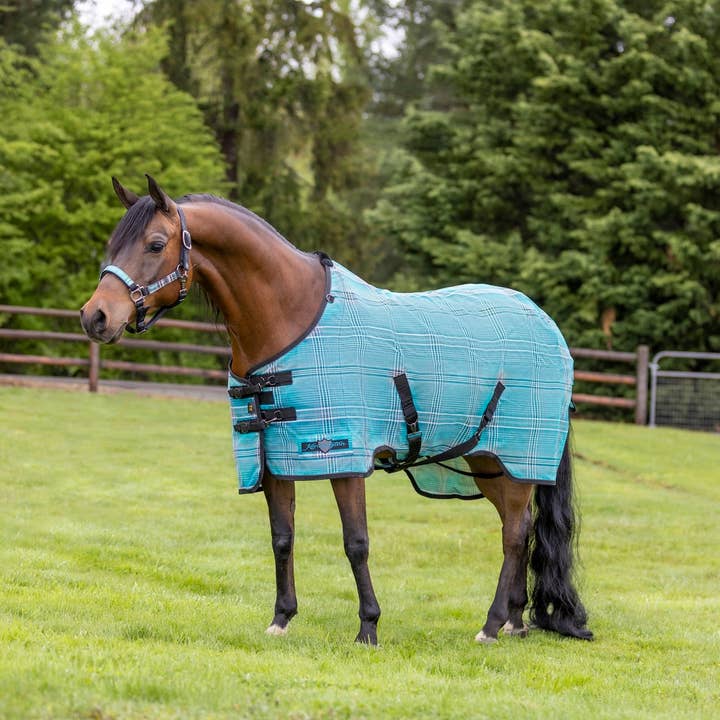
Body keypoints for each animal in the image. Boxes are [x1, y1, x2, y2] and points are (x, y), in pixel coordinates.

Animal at [80, 175, 593, 645]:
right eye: (114, 244)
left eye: (156, 244)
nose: (95, 317)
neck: (291, 317)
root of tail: (546, 323)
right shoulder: (276, 459)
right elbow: (282, 538)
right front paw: (281, 618)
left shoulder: (344, 456)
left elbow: (356, 543)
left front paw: (368, 627)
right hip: (487, 460)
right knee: (517, 529)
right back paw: (513, 621)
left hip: (519, 456)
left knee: (514, 535)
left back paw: (490, 625)